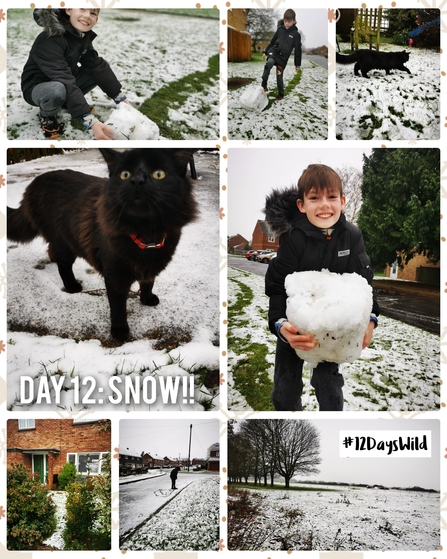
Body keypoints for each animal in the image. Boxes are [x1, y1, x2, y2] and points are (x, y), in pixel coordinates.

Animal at [7, 149, 198, 342]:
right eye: (125, 174)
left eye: (159, 174)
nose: (137, 181)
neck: (147, 234)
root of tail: (34, 183)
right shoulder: (114, 276)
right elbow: (118, 307)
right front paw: (119, 331)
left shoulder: (151, 266)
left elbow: (148, 282)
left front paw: (147, 299)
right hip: (65, 242)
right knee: (64, 266)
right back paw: (72, 286)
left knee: (53, 251)